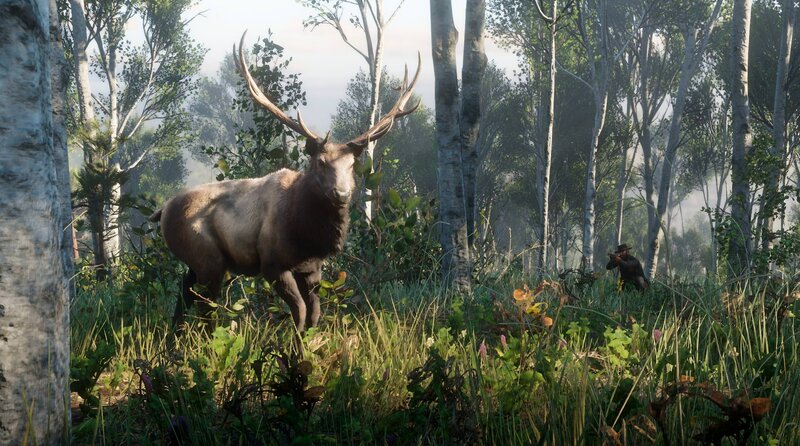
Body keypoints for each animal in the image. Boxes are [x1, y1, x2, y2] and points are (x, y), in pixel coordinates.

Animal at [149, 32, 420, 333]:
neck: (305, 234)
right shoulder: (272, 264)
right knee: (204, 306)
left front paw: (306, 341)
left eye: (352, 165)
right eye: (321, 162)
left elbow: (314, 313)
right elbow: (300, 311)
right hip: (208, 259)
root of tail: (162, 210)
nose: (341, 193)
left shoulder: (312, 268)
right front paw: (293, 341)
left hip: (196, 263)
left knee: (183, 293)